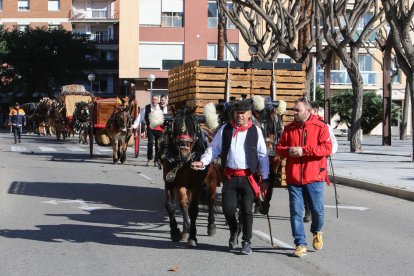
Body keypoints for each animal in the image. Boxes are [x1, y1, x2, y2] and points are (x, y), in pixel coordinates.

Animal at [158, 106, 218, 247]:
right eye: (174, 126)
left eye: (193, 128)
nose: (184, 153)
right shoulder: (170, 181)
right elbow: (171, 206)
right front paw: (175, 232)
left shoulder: (196, 184)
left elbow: (194, 209)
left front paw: (193, 237)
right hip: (182, 184)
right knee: (184, 203)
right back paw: (185, 229)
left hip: (211, 179)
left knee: (211, 199)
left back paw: (211, 226)